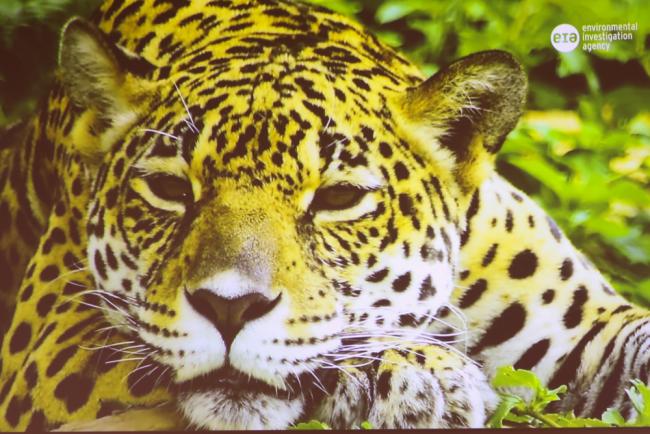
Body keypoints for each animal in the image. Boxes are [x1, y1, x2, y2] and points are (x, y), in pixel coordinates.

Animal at [0, 0, 648, 430]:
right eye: (168, 188)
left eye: (338, 199)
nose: (229, 308)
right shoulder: (48, 348)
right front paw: (417, 371)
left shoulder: (591, 327)